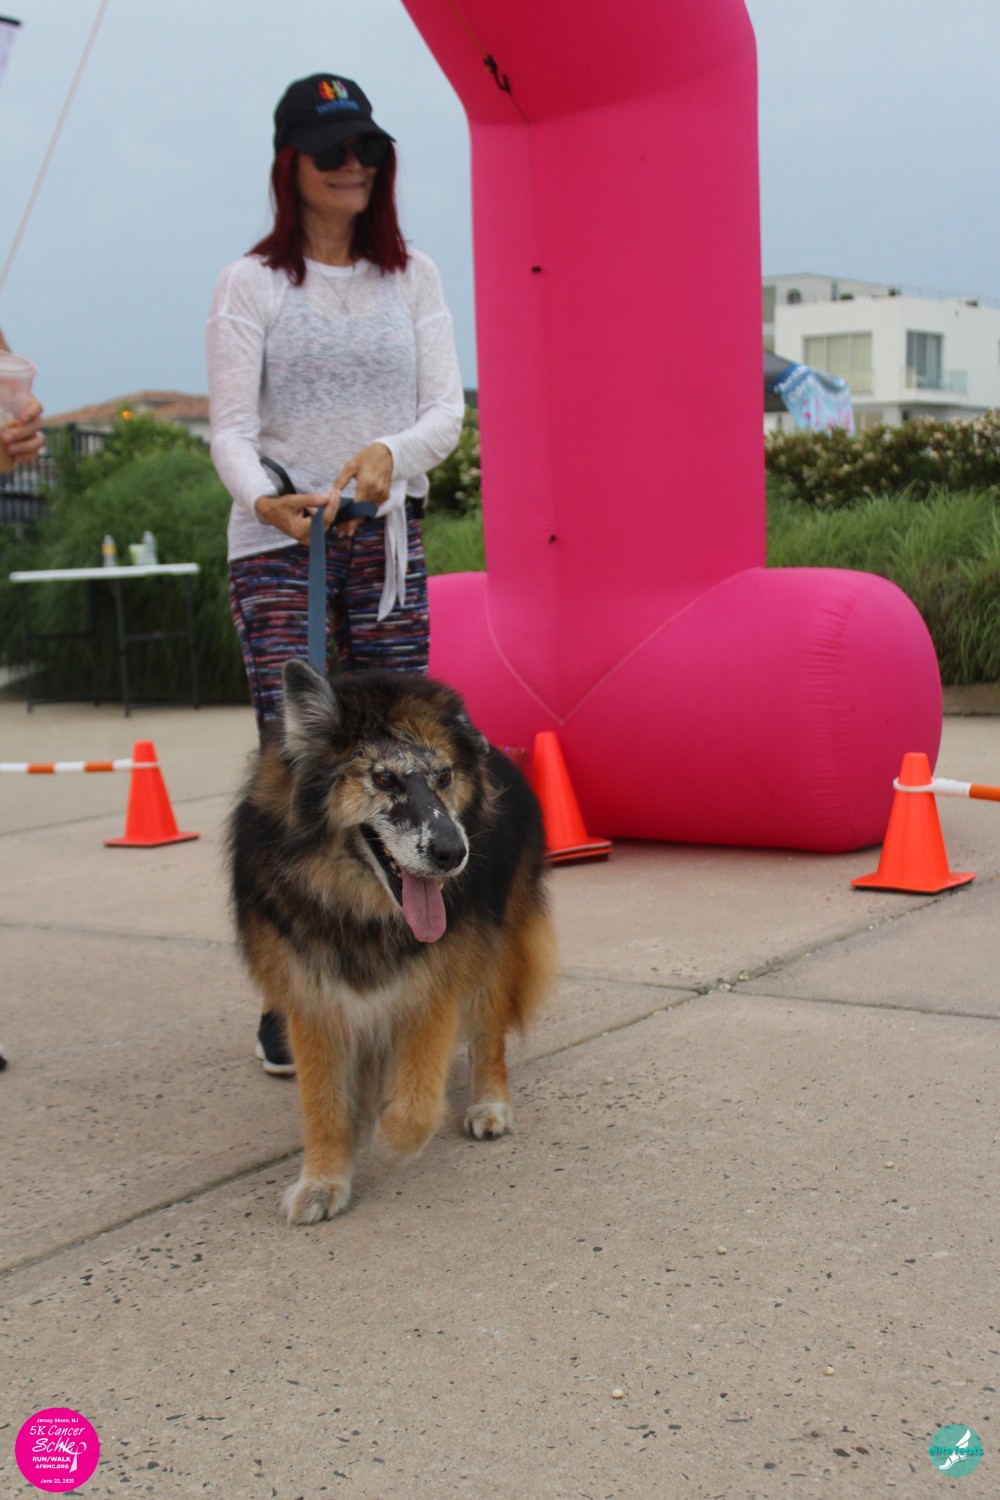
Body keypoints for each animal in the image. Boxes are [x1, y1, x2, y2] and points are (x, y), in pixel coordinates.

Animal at [229, 661, 557, 1225]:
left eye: (444, 777)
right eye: (383, 778)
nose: (453, 853)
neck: (362, 912)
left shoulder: (433, 985)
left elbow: (417, 1099)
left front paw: (389, 1141)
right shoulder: (313, 997)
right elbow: (323, 1102)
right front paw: (322, 1181)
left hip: (492, 953)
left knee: (488, 1036)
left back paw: (489, 1104)